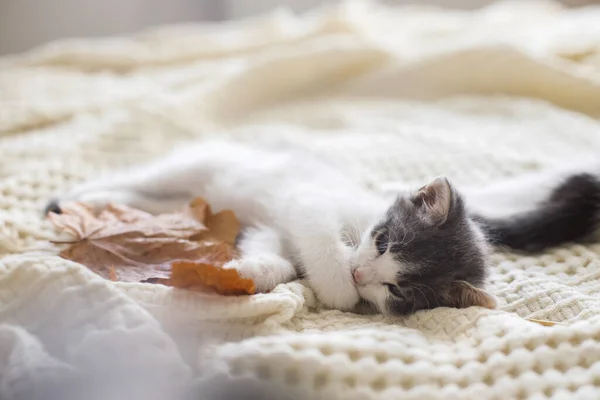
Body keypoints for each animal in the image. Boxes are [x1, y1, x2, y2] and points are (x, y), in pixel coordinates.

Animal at [45, 141, 600, 316]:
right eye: (383, 241)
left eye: (397, 290)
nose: (361, 277)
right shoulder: (308, 203)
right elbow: (321, 248)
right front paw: (338, 286)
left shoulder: (269, 224)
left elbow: (275, 255)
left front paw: (247, 271)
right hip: (204, 162)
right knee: (146, 178)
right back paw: (77, 200)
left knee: (155, 199)